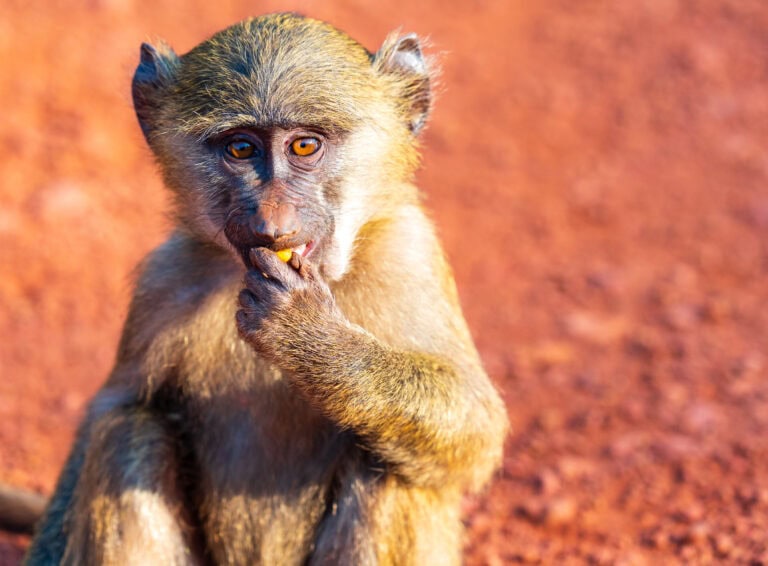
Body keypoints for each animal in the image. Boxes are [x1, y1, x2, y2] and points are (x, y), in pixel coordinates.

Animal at [23, 13, 508, 565]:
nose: (272, 222)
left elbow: (477, 426)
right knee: (128, 431)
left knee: (389, 462)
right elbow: (111, 409)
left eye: (304, 146)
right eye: (240, 148)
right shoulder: (164, 280)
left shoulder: (409, 254)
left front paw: (311, 337)